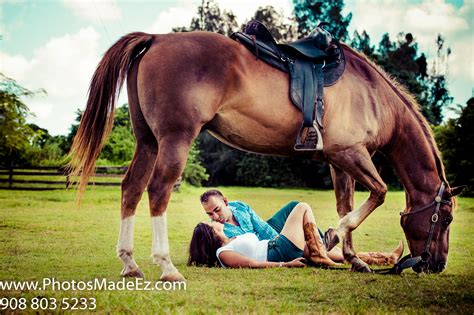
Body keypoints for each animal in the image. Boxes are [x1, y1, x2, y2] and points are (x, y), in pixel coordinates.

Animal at [67, 30, 462, 282]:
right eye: (444, 219)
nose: (437, 265)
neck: (371, 95)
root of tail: (157, 38)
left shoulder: (340, 161)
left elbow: (348, 204)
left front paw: (353, 260)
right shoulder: (349, 153)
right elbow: (376, 195)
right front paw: (330, 239)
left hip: (148, 141)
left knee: (131, 189)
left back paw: (129, 263)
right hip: (174, 138)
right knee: (158, 190)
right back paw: (166, 268)